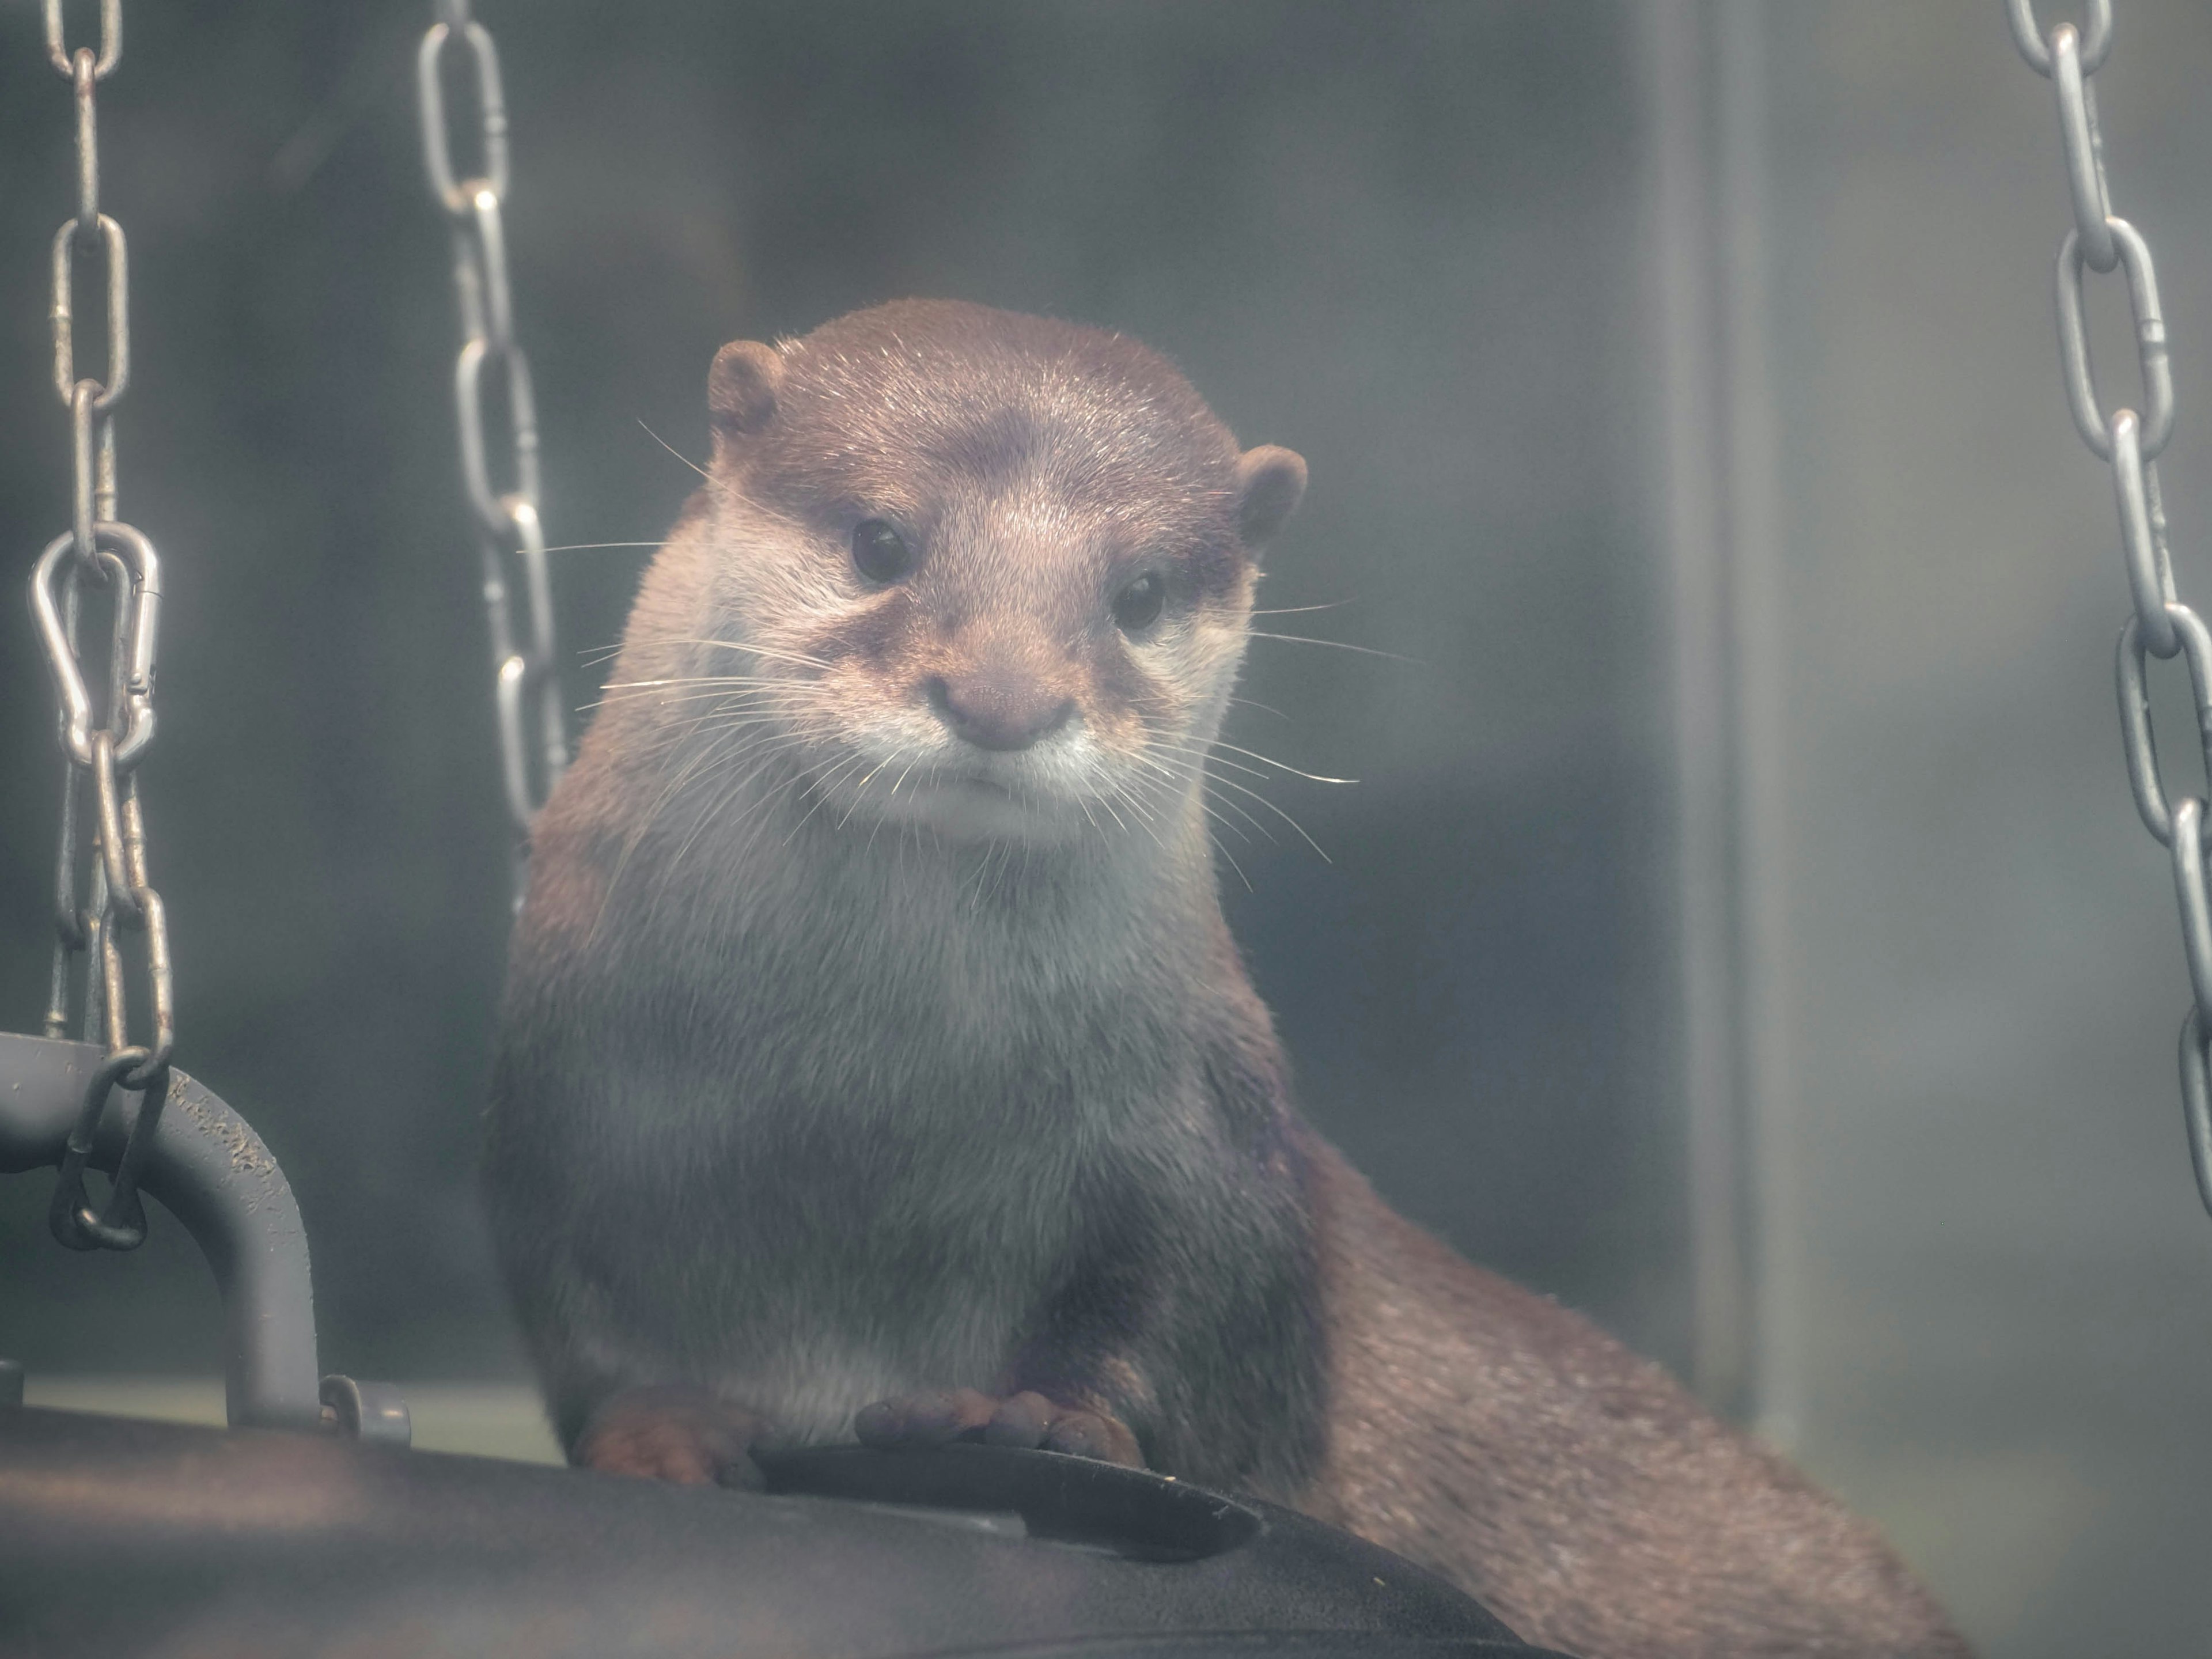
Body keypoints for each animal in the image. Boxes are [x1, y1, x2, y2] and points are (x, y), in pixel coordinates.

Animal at [488, 303, 1973, 1659]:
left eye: (1139, 593)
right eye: (880, 541)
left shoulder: (1199, 1134)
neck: (866, 1125)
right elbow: (582, 1320)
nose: (1004, 699)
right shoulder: (562, 1103)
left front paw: (1036, 1417)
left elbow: (1195, 1318)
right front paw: (663, 1426)